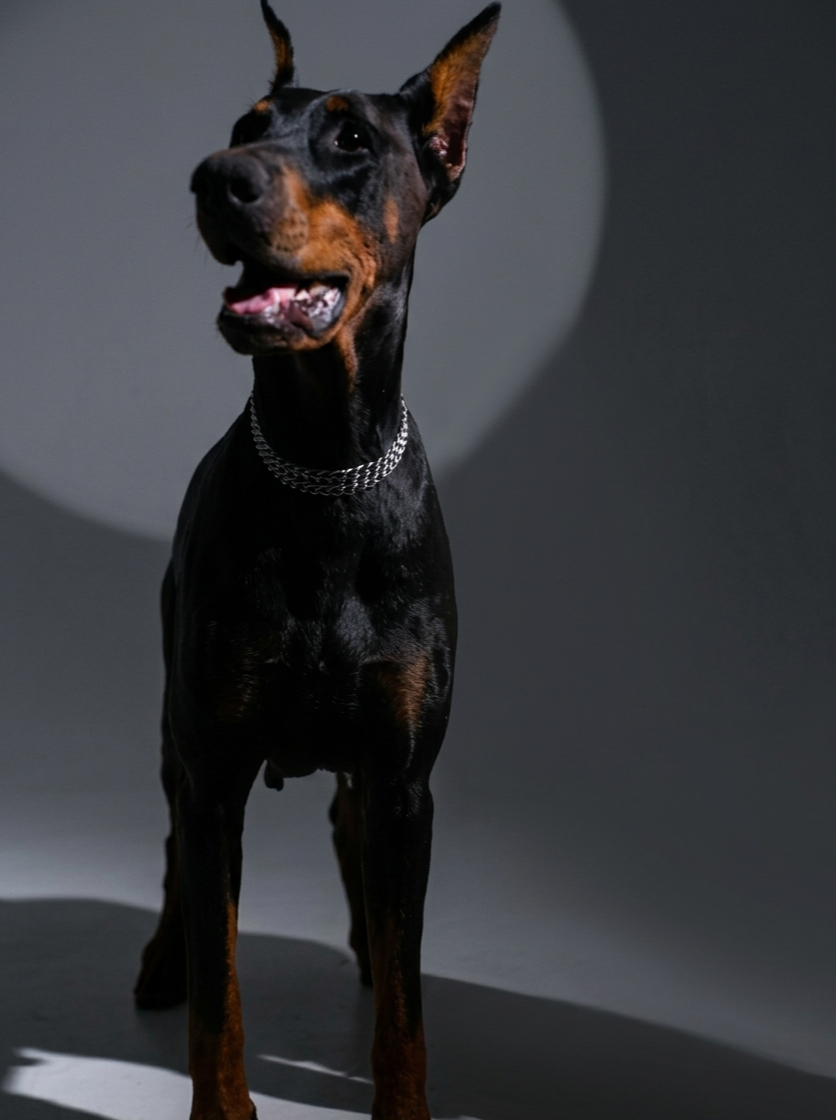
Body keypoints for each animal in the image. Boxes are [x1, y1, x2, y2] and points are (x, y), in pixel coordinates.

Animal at [133, 4, 500, 1118]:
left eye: (350, 140)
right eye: (245, 124)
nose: (216, 176)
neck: (325, 464)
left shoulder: (405, 778)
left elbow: (409, 1014)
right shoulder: (215, 765)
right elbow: (220, 986)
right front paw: (220, 1103)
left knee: (352, 834)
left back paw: (375, 946)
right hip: (174, 726)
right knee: (176, 848)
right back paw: (160, 958)